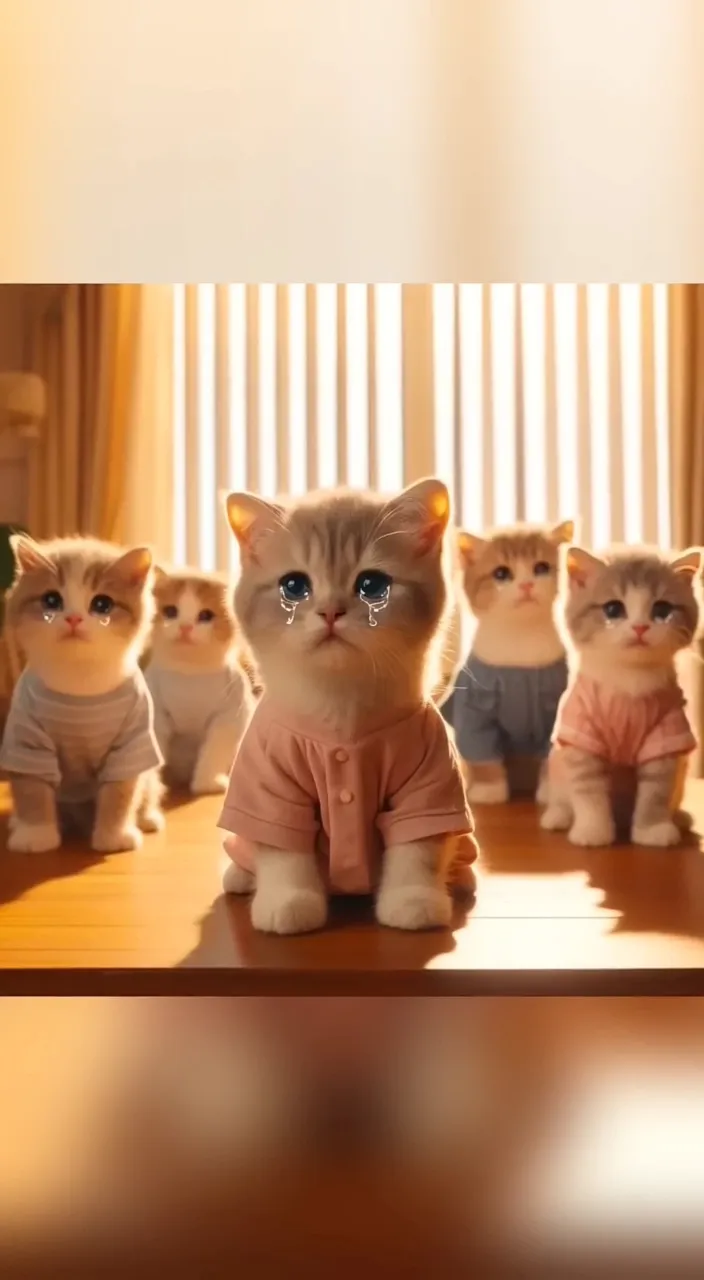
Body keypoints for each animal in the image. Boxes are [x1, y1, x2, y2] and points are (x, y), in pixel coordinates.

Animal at [0, 535, 162, 855]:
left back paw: (148, 817)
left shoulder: (132, 741)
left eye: (102, 604)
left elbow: (122, 789)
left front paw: (114, 836)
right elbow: (32, 787)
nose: (73, 618)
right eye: (51, 600)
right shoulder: (27, 740)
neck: (80, 683)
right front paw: (36, 835)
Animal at [145, 568, 253, 793]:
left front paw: (207, 784)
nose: (185, 627)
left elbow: (214, 751)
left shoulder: (230, 715)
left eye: (205, 616)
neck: (190, 675)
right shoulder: (156, 713)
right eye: (170, 611)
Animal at [218, 476, 481, 936]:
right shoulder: (269, 783)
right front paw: (288, 902)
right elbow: (282, 849)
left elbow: (418, 848)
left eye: (372, 585)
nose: (330, 611)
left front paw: (413, 901)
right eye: (293, 586)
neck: (341, 710)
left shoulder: (430, 784)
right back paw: (240, 876)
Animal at [445, 517, 576, 798]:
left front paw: (549, 791)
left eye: (541, 568)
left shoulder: (553, 704)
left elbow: (549, 751)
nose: (526, 585)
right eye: (501, 574)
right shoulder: (476, 704)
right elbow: (480, 748)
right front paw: (489, 789)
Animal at [542, 542, 701, 849]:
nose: (640, 627)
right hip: (556, 763)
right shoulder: (581, 732)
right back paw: (558, 815)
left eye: (662, 609)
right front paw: (592, 831)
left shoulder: (666, 733)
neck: (630, 682)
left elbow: (656, 789)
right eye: (613, 609)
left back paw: (679, 818)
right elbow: (588, 787)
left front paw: (652, 830)